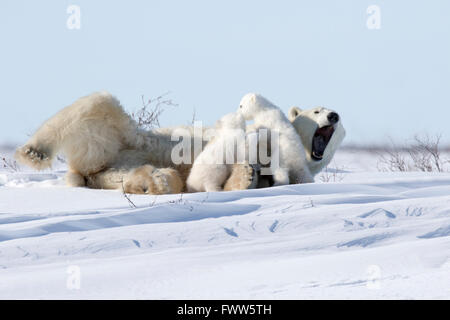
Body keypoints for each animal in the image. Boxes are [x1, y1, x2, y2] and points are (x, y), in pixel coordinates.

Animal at [13, 91, 344, 194]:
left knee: (135, 175)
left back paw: (154, 182)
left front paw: (245, 176)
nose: (334, 115)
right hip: (115, 137)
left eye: (338, 121)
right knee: (98, 102)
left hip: (106, 164)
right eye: (317, 110)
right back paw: (33, 151)